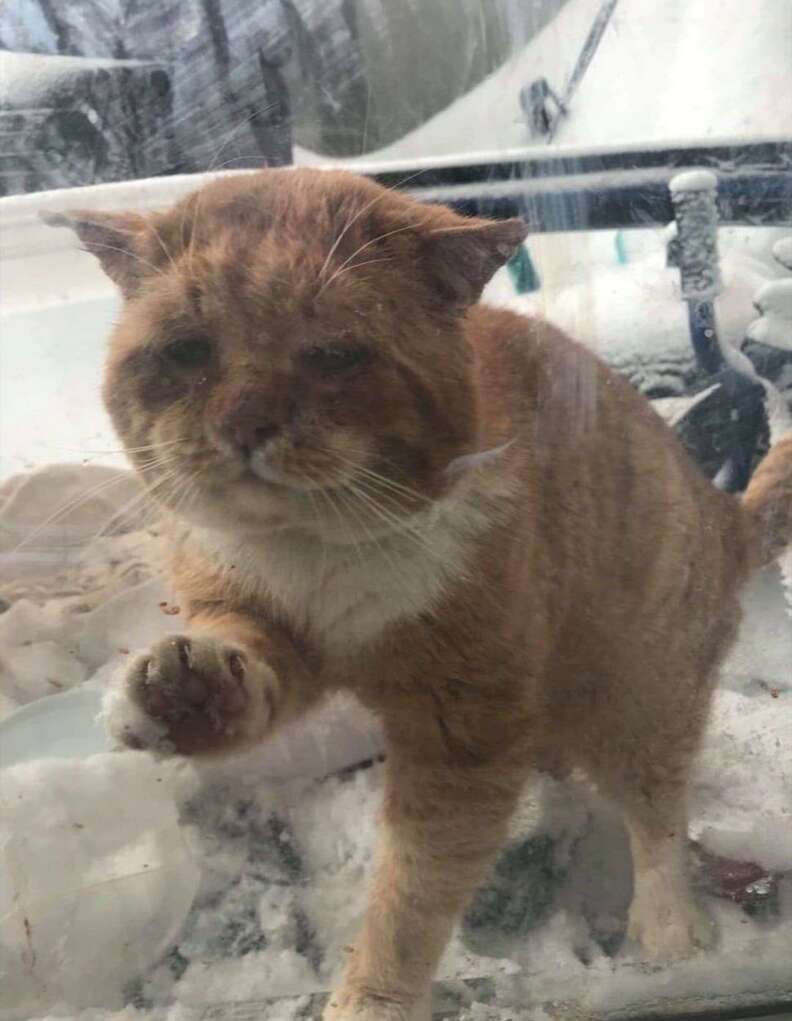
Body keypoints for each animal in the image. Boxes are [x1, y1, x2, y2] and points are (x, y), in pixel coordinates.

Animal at [47, 171, 792, 1016]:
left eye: (334, 353)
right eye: (186, 350)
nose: (245, 423)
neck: (316, 554)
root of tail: (725, 512)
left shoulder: (462, 732)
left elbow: (412, 898)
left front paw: (367, 997)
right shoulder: (258, 621)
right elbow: (243, 661)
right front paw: (184, 693)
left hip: (637, 693)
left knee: (658, 810)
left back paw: (669, 930)